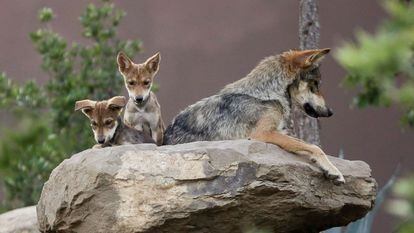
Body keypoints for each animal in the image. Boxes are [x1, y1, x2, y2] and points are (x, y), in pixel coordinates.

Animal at [163, 48, 344, 184]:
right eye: (316, 85)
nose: (331, 112)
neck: (265, 93)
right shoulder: (263, 134)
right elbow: (315, 147)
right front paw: (334, 171)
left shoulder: (280, 132)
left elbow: (306, 144)